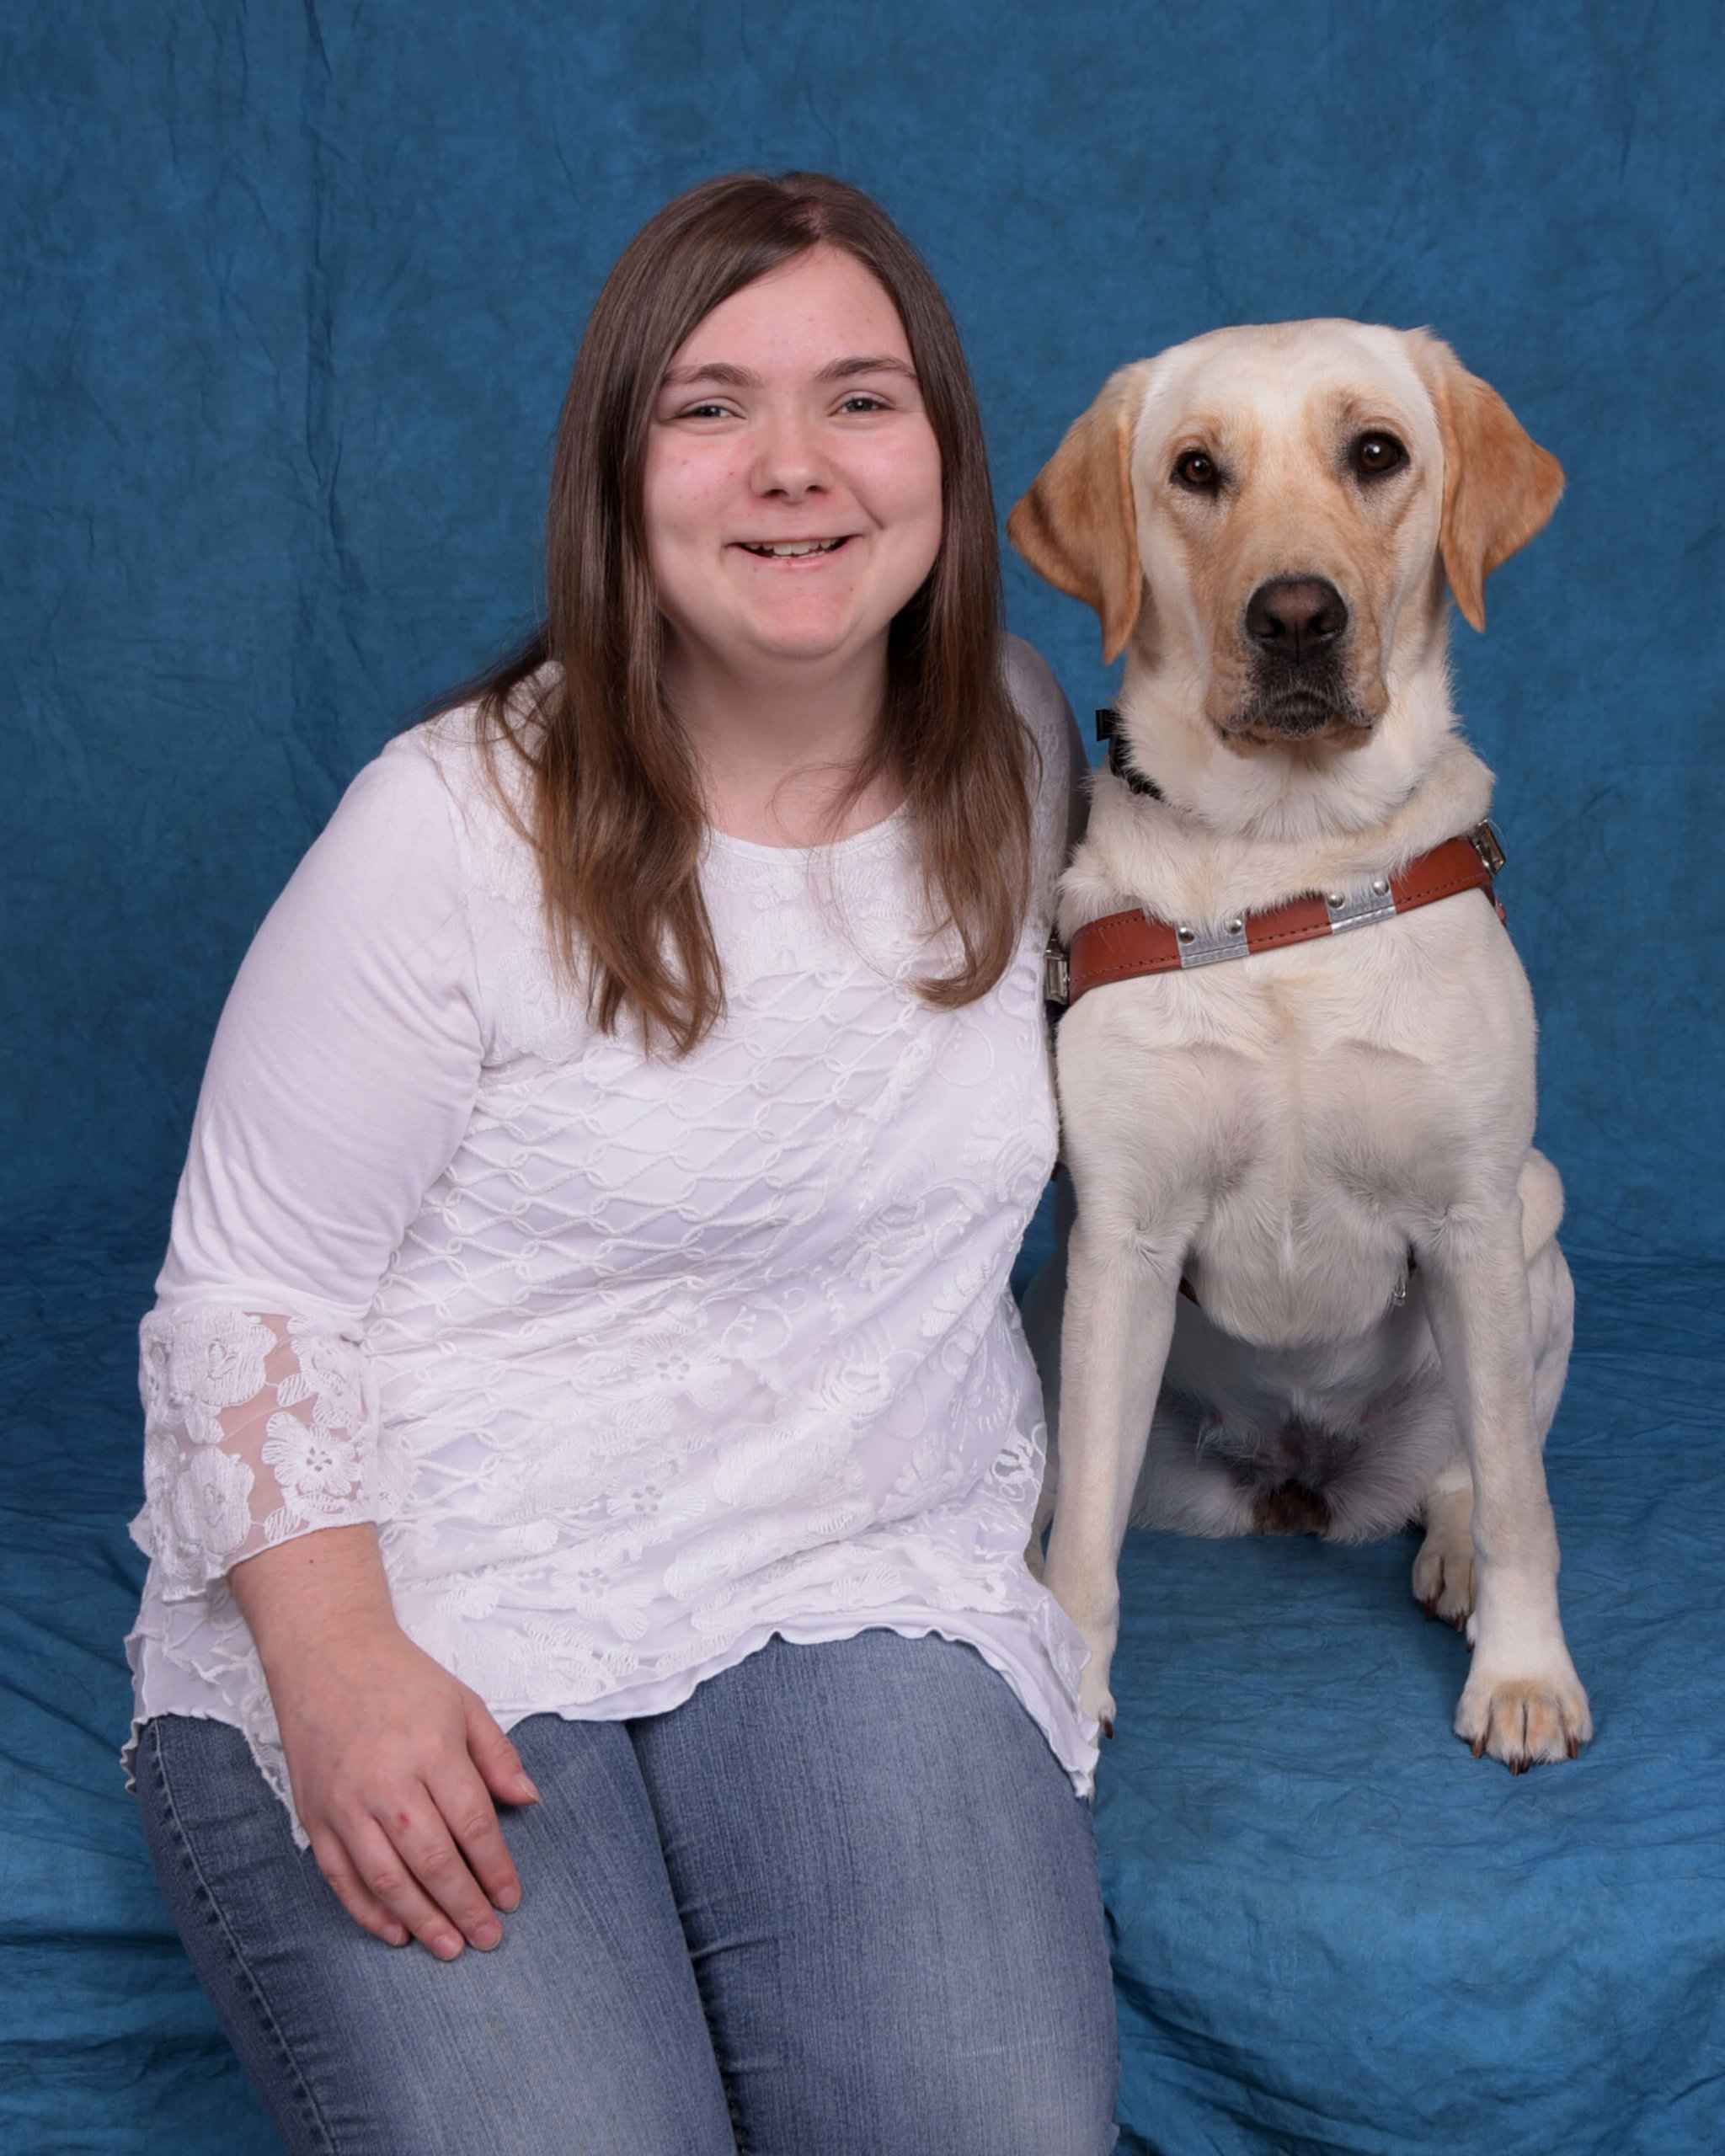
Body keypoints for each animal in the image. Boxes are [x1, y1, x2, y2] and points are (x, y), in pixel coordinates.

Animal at [1009, 318, 1587, 1768]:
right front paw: (1070, 1682)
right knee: (1064, 1494)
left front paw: (1524, 1675)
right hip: (1055, 1304)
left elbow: (1521, 1498)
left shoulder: (1472, 1217)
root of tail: (1301, 1478)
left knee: (1482, 1472)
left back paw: (1448, 1553)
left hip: (1539, 1231)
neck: (1288, 858)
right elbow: (1088, 1542)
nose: (1294, 617)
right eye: (1194, 470)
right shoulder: (1125, 1240)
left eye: (1375, 452)